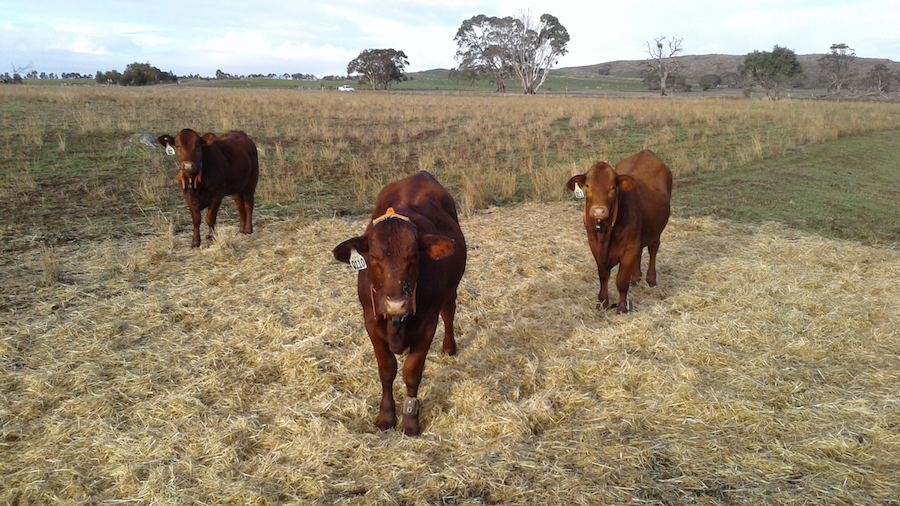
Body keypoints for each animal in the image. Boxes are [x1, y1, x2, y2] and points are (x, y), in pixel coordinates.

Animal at [334, 171, 468, 434]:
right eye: (373, 257)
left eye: (414, 256)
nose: (396, 305)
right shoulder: (371, 321)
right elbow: (387, 371)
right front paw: (386, 416)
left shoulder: (427, 324)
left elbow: (411, 373)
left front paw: (410, 420)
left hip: (450, 291)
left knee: (449, 311)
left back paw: (449, 348)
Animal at [568, 149, 672, 312]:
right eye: (588, 186)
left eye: (612, 187)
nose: (599, 211)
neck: (605, 233)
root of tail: (646, 152)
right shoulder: (595, 247)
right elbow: (603, 276)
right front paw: (602, 303)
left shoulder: (629, 248)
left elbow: (621, 281)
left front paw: (622, 307)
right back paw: (635, 279)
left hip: (656, 230)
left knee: (653, 250)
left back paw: (651, 280)